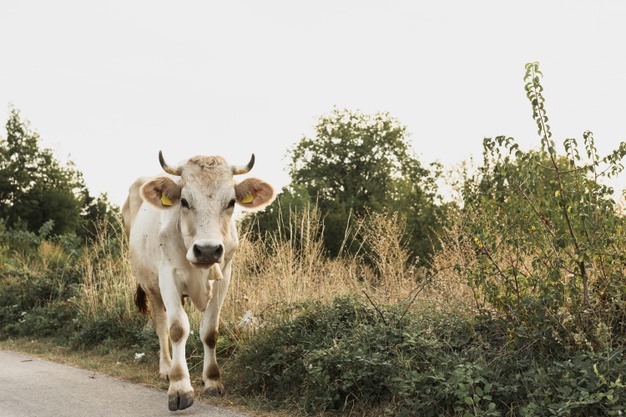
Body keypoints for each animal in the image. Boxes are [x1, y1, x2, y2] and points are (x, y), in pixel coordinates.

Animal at [123, 150, 274, 410]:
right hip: (151, 287)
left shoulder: (224, 276)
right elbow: (177, 329)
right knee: (161, 325)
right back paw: (166, 368)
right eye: (184, 201)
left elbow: (210, 331)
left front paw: (212, 380)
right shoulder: (168, 277)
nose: (207, 250)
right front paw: (180, 387)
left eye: (231, 202)